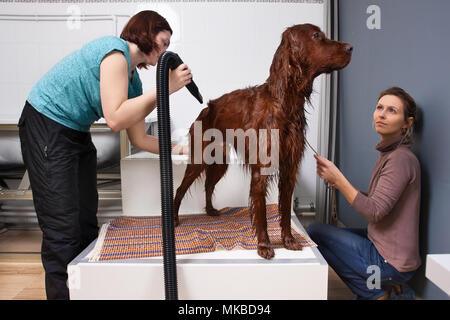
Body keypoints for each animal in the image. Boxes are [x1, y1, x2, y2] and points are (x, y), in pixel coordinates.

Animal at [172, 25, 352, 260]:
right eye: (316, 36)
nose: (351, 47)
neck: (285, 104)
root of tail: (206, 108)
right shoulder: (261, 171)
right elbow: (262, 212)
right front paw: (265, 245)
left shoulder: (289, 169)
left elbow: (285, 209)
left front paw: (288, 240)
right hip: (199, 159)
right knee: (180, 189)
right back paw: (175, 218)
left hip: (220, 162)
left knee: (209, 185)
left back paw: (210, 211)